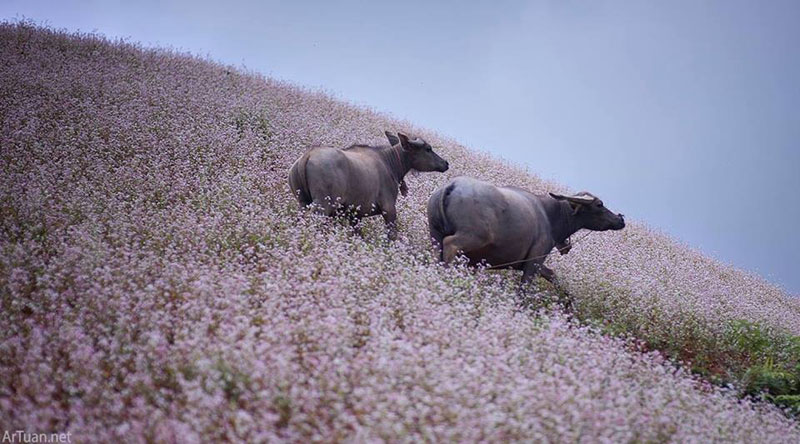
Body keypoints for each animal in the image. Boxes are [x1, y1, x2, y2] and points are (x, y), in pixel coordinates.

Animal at [290, 131, 450, 239]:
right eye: (428, 149)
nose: (445, 163)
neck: (391, 163)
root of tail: (307, 156)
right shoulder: (389, 209)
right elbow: (392, 235)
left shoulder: (355, 215)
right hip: (323, 205)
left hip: (303, 203)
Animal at [424, 177, 624, 284]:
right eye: (599, 205)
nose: (620, 219)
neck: (550, 216)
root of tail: (451, 186)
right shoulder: (534, 262)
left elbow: (553, 276)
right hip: (473, 236)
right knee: (450, 244)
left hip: (435, 234)